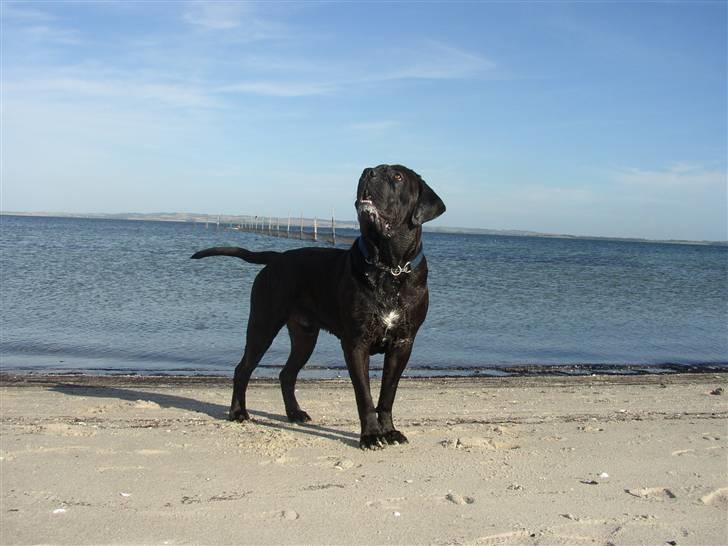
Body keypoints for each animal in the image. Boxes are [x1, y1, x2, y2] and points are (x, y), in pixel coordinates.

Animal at [192, 165, 444, 446]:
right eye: (373, 169)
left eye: (397, 177)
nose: (368, 172)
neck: (390, 268)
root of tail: (277, 258)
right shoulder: (356, 343)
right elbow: (365, 396)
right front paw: (370, 435)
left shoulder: (402, 345)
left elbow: (387, 394)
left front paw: (389, 431)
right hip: (263, 326)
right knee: (243, 369)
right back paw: (238, 412)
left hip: (304, 337)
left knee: (287, 374)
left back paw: (294, 413)